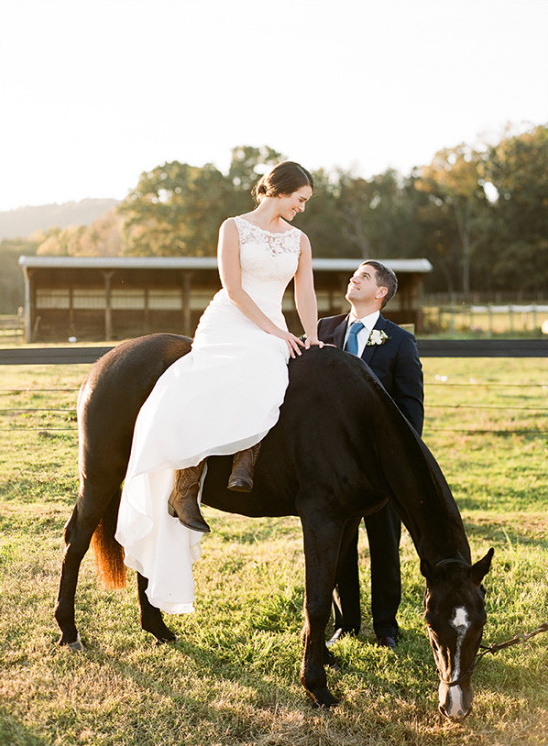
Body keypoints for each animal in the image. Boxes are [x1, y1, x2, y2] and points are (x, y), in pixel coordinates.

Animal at [54, 332, 492, 716]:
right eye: (433, 628)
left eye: (480, 624)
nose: (456, 708)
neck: (356, 419)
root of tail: (104, 365)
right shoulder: (321, 520)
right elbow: (317, 602)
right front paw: (316, 686)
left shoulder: (346, 520)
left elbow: (327, 589)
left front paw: (324, 656)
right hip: (101, 477)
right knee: (76, 542)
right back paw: (69, 631)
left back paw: (156, 627)